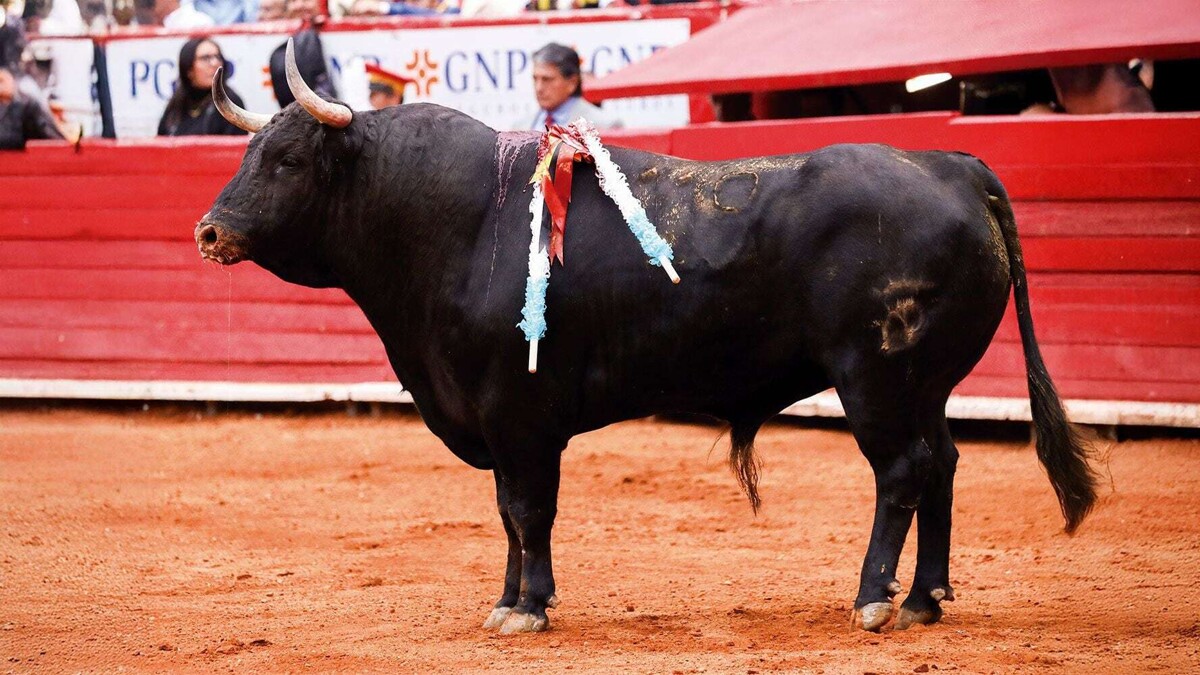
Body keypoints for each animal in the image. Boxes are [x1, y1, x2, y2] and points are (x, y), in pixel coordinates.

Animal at [194, 94, 1099, 629]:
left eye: (287, 160)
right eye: (248, 153)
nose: (209, 230)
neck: (458, 220)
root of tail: (951, 164)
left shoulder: (520, 416)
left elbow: (528, 510)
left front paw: (527, 609)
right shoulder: (498, 421)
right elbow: (507, 514)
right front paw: (509, 600)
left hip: (875, 379)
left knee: (904, 471)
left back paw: (874, 598)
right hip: (926, 383)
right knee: (942, 464)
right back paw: (923, 600)